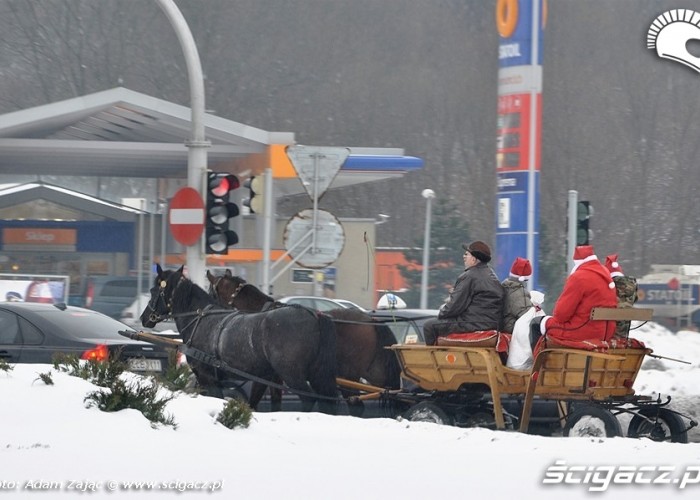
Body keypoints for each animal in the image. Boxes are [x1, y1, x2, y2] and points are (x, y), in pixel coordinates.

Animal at [141, 264, 338, 412]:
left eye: (153, 290)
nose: (144, 318)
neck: (200, 318)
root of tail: (315, 317)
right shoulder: (265, 379)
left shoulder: (207, 376)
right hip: (316, 374)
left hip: (292, 374)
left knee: (309, 398)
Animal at [205, 270, 400, 410]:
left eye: (211, 293)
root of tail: (370, 320)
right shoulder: (275, 376)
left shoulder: (269, 374)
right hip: (374, 373)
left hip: (348, 374)